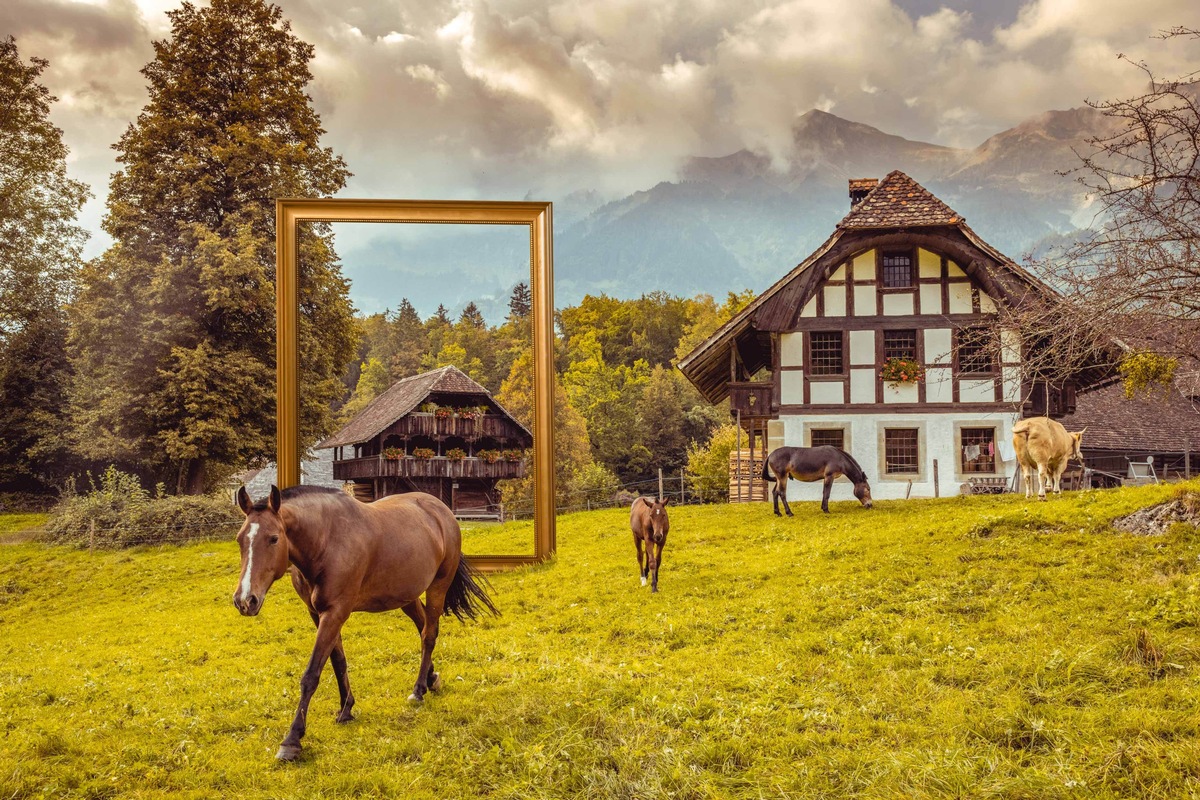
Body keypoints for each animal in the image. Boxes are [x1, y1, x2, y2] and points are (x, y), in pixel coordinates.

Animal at [231, 484, 499, 762]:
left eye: (273, 538)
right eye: (240, 539)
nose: (245, 600)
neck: (327, 540)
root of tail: (442, 511)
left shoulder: (335, 612)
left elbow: (312, 674)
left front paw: (292, 740)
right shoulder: (318, 613)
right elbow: (337, 661)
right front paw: (346, 709)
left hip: (438, 586)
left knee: (429, 634)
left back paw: (418, 690)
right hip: (406, 596)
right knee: (423, 625)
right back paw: (431, 678)